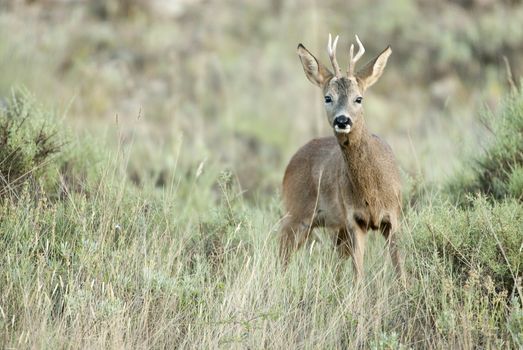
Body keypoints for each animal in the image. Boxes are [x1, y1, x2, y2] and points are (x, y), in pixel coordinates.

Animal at [278, 34, 406, 282]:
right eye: (328, 97)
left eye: (359, 98)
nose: (342, 120)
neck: (372, 192)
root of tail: (291, 162)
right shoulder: (354, 220)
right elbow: (358, 276)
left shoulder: (393, 217)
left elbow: (400, 271)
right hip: (297, 211)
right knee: (281, 247)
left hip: (332, 227)